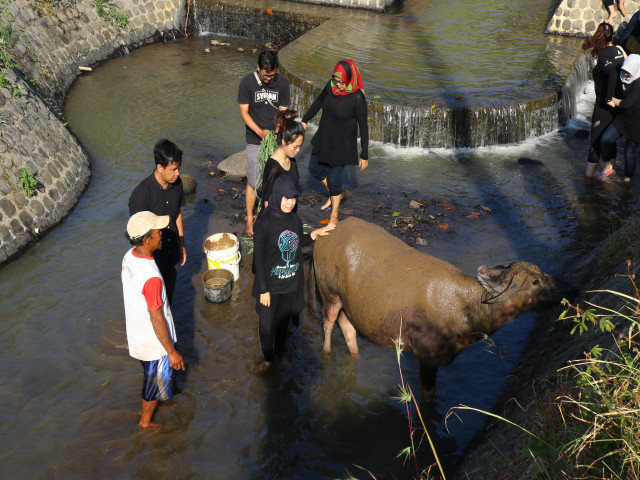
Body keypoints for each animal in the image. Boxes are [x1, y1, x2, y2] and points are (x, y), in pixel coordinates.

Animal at [312, 217, 576, 402]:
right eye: (535, 282)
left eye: (541, 273)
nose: (570, 286)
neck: (466, 313)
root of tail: (321, 238)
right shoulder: (426, 356)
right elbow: (428, 400)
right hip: (328, 292)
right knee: (327, 324)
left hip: (346, 302)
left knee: (348, 328)